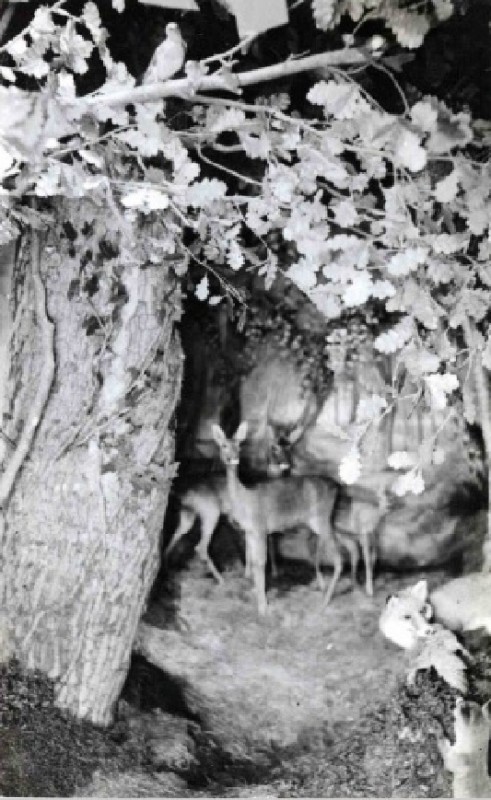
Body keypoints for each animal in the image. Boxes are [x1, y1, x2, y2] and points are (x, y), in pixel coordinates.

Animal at [211, 422, 346, 616]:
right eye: (223, 446)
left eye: (239, 446)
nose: (233, 459)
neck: (245, 499)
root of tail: (337, 487)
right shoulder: (250, 531)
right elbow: (254, 561)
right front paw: (256, 593)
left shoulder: (260, 528)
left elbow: (261, 563)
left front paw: (263, 607)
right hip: (320, 522)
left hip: (322, 518)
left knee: (339, 560)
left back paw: (324, 604)